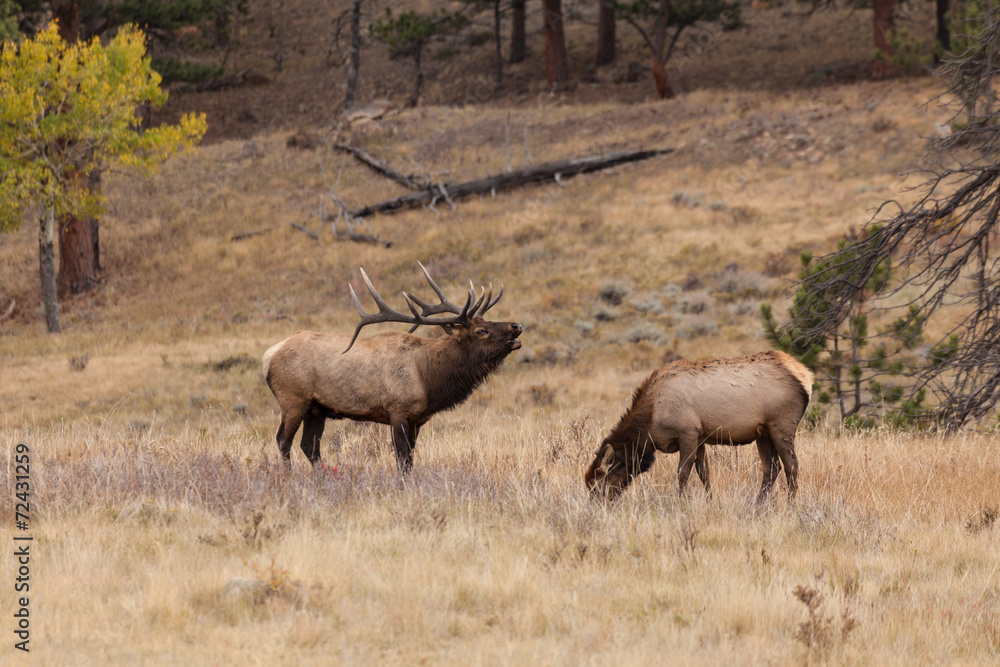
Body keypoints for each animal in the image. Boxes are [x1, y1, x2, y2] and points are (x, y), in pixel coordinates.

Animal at [262, 264, 524, 472]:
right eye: (481, 331)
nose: (517, 326)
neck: (429, 379)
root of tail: (268, 356)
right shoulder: (398, 410)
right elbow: (402, 459)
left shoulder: (417, 419)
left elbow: (410, 459)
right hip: (293, 398)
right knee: (283, 440)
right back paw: (288, 477)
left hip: (316, 408)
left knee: (309, 446)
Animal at [584, 352, 812, 504]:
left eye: (599, 479)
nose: (596, 505)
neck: (651, 422)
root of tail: (807, 377)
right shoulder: (700, 436)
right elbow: (704, 473)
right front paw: (711, 501)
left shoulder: (688, 432)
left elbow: (683, 472)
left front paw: (680, 502)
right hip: (763, 433)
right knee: (771, 468)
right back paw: (758, 505)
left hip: (781, 425)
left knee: (792, 465)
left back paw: (790, 505)